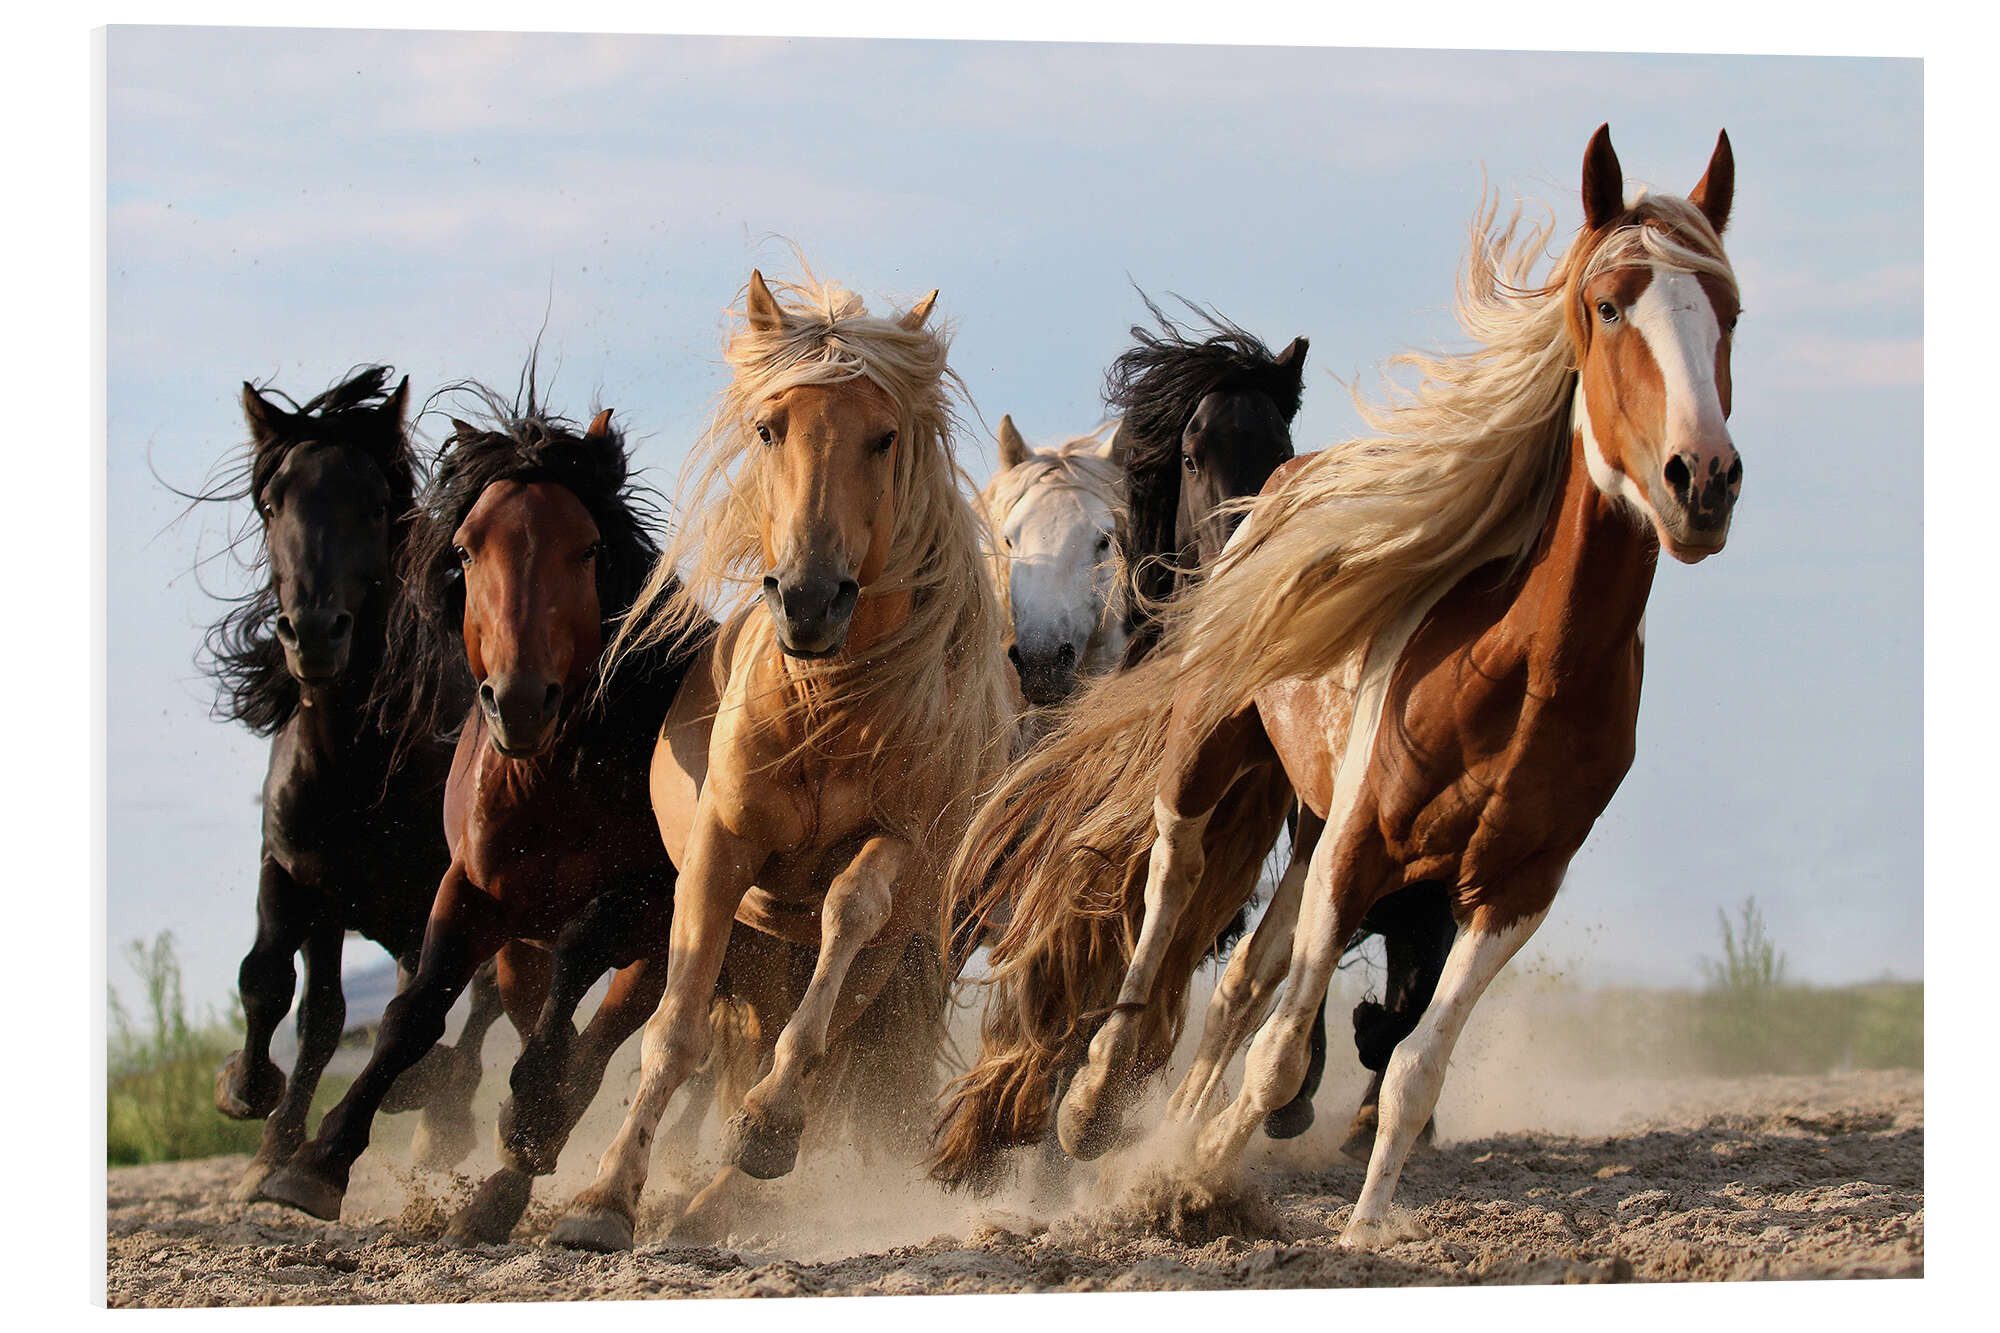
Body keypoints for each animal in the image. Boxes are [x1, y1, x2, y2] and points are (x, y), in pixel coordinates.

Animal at [191, 366, 501, 1200]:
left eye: (374, 504)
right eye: (273, 504)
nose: (314, 633)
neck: (356, 763)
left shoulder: (442, 888)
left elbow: (432, 999)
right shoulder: (301, 873)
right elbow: (283, 988)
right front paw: (257, 1113)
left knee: (481, 1000)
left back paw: (441, 1113)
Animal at [255, 386, 705, 1247]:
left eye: (587, 549)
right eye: (465, 551)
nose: (519, 701)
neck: (553, 779)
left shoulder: (644, 900)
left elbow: (579, 970)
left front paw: (529, 1112)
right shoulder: (470, 889)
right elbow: (413, 1010)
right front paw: (316, 1163)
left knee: (600, 1039)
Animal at [546, 267, 1013, 1252]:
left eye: (884, 435)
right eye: (770, 428)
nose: (808, 599)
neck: (827, 708)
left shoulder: (899, 847)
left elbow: (846, 917)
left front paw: (764, 1126)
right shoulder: (721, 852)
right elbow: (675, 1030)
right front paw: (602, 1197)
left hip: (886, 958)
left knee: (827, 1054)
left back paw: (728, 1189)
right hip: (762, 949)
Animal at [932, 125, 1743, 1250]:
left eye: (1728, 312)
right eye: (1609, 304)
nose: (1698, 479)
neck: (1526, 668)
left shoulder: (1510, 885)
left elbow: (1404, 1060)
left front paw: (1346, 1218)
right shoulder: (1356, 838)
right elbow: (1255, 1030)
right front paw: (1171, 1165)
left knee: (1244, 981)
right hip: (1212, 754)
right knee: (1170, 882)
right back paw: (1096, 1100)